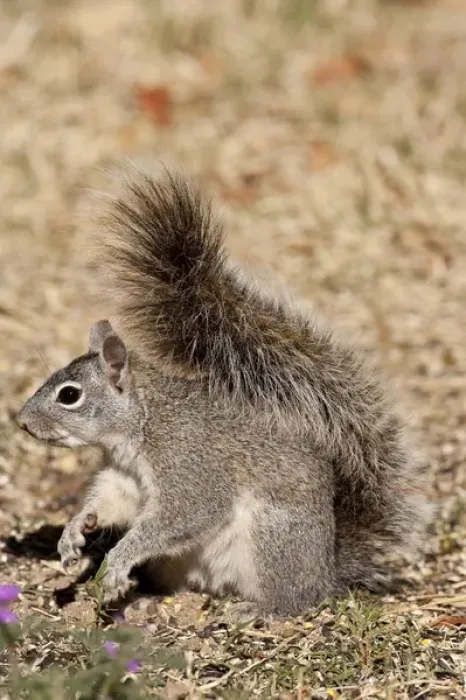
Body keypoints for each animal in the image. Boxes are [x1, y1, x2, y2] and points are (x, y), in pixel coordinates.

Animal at [17, 164, 431, 619]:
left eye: (69, 395)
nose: (22, 422)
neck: (144, 422)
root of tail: (328, 572)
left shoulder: (190, 466)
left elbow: (182, 516)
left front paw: (117, 560)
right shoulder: (124, 478)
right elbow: (111, 503)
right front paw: (77, 530)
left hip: (273, 536)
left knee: (295, 599)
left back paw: (259, 609)